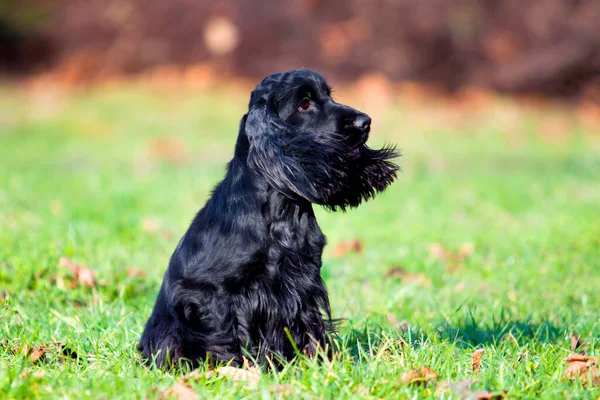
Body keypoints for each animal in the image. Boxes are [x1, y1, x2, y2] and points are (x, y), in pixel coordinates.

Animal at [137, 69, 398, 368]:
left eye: (329, 96)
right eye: (304, 103)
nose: (365, 121)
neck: (282, 211)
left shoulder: (304, 284)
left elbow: (309, 326)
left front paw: (314, 363)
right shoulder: (216, 295)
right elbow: (227, 340)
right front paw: (238, 370)